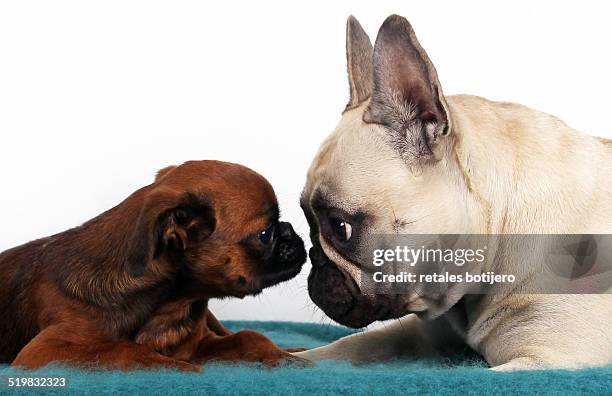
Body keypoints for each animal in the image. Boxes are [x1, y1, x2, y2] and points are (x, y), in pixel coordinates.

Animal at [0, 159, 306, 370]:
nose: (291, 230)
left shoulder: (200, 343)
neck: (168, 305)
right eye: (265, 234)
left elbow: (248, 336)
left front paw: (278, 354)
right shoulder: (45, 351)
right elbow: (124, 349)